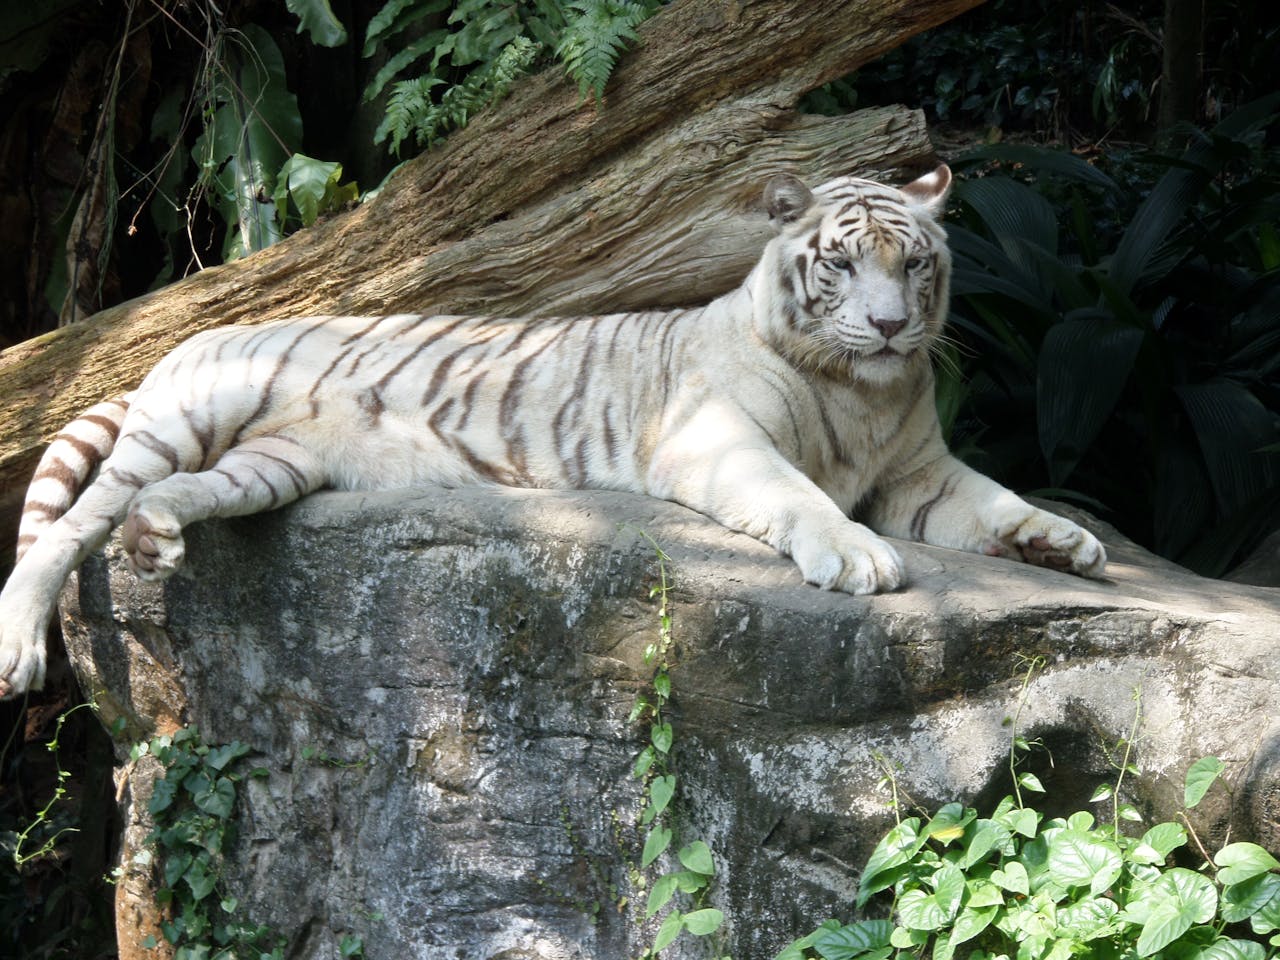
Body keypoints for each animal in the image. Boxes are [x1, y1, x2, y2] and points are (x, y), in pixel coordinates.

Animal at [0, 165, 1100, 701]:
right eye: (840, 264)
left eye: (914, 264)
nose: (888, 325)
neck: (861, 391)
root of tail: (178, 342)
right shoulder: (720, 442)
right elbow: (802, 498)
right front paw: (856, 556)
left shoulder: (920, 469)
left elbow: (996, 499)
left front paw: (1065, 543)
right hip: (190, 418)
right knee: (67, 530)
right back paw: (24, 647)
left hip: (268, 466)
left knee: (161, 501)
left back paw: (156, 540)